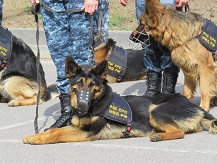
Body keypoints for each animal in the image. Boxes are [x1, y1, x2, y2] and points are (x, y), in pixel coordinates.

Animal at [22, 56, 217, 145]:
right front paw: (35, 135)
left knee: (179, 132)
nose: (84, 105)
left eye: (93, 85)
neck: (97, 103)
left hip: (155, 110)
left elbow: (58, 134)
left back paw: (159, 136)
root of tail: (199, 109)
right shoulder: (77, 127)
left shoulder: (86, 133)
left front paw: (38, 140)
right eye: (79, 84)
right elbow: (53, 131)